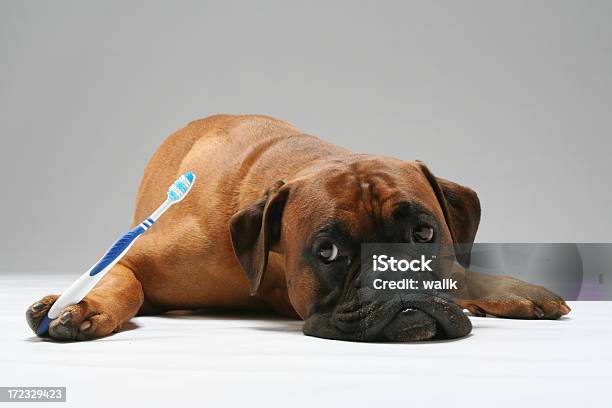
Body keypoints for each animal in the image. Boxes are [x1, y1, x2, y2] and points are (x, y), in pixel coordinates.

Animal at [23, 114, 568, 342]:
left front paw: (511, 291)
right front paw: (81, 306)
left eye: (425, 235)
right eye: (327, 252)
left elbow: (464, 272)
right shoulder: (133, 256)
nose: (394, 278)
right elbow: (120, 279)